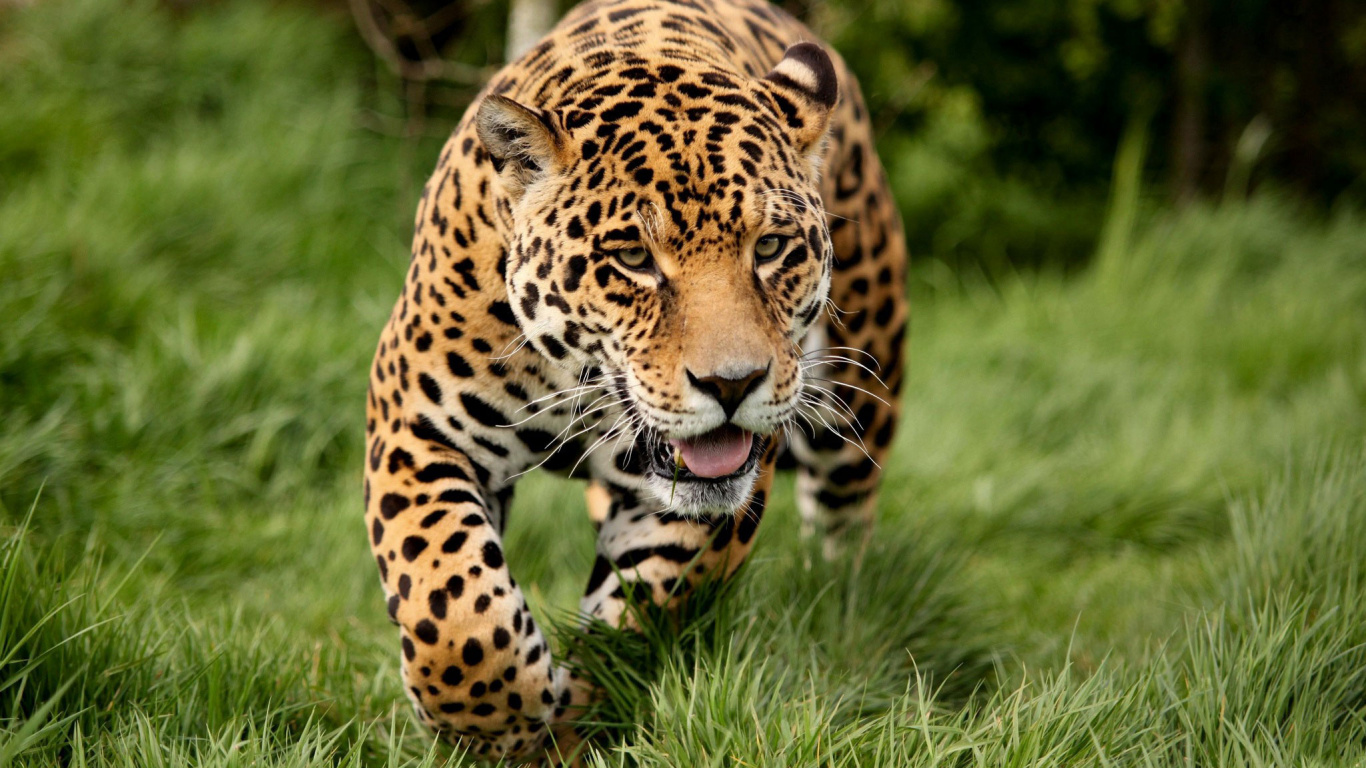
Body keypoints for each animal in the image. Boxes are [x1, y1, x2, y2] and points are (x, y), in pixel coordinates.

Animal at [362, 0, 908, 762]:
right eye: (632, 259)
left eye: (770, 247)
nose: (733, 384)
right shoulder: (416, 423)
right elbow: (452, 608)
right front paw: (496, 727)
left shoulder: (701, 505)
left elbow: (636, 615)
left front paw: (569, 720)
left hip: (861, 397)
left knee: (843, 528)